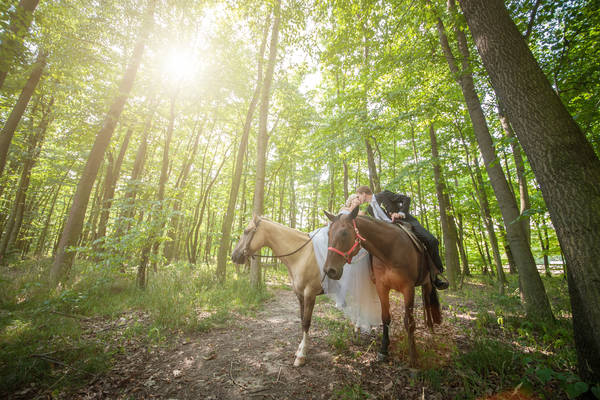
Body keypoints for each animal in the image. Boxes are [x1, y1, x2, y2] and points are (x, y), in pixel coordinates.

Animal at [230, 216, 324, 366]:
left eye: (246, 231)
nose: (233, 256)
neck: (303, 255)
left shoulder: (310, 294)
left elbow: (306, 322)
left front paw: (301, 356)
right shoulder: (300, 294)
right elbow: (302, 320)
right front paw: (300, 348)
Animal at [324, 208, 440, 368]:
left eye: (344, 233)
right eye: (328, 233)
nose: (329, 270)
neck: (390, 250)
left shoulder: (408, 288)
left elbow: (409, 322)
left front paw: (414, 358)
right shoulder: (382, 287)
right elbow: (385, 318)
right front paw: (384, 350)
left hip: (428, 282)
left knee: (428, 303)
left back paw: (431, 329)